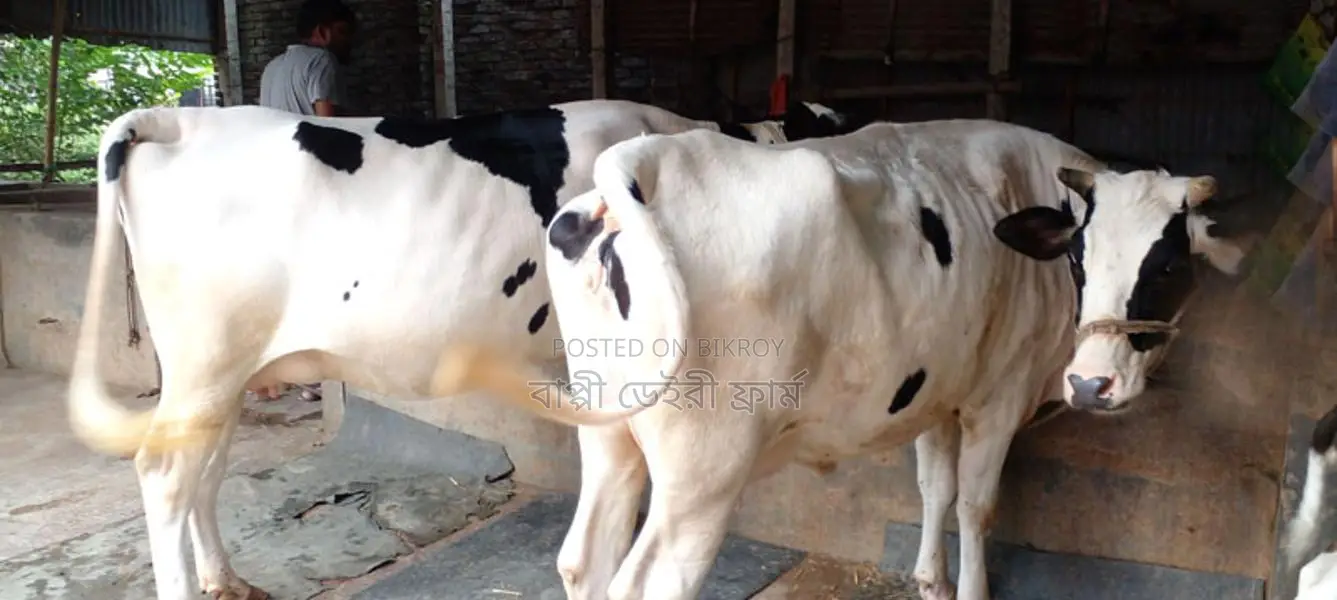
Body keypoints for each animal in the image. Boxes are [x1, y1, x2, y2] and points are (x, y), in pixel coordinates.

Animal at [64, 98, 862, 600]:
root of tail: (178, 118)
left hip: (221, 371)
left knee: (205, 467)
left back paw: (226, 580)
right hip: (208, 358)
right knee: (166, 474)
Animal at [432, 120, 1252, 600]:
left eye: (1168, 264)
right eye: (1080, 256)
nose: (1091, 383)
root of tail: (649, 161)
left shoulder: (940, 387)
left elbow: (934, 488)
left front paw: (928, 581)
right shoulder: (997, 394)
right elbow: (977, 504)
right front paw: (969, 589)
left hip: (610, 430)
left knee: (584, 558)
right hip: (705, 466)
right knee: (650, 581)